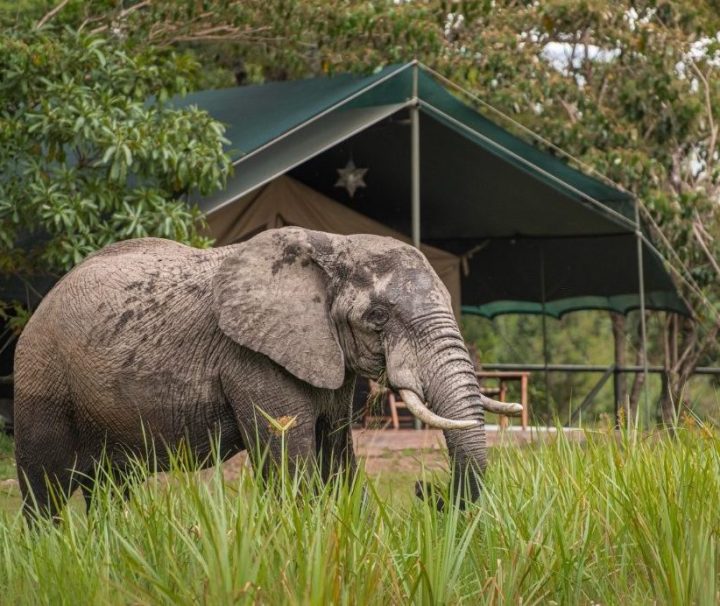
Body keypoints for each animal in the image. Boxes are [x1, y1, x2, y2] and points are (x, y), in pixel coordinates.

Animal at [14, 226, 520, 520]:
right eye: (377, 317)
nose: (425, 490)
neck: (330, 245)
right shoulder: (252, 358)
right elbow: (292, 462)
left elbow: (337, 457)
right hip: (41, 375)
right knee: (44, 486)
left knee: (111, 486)